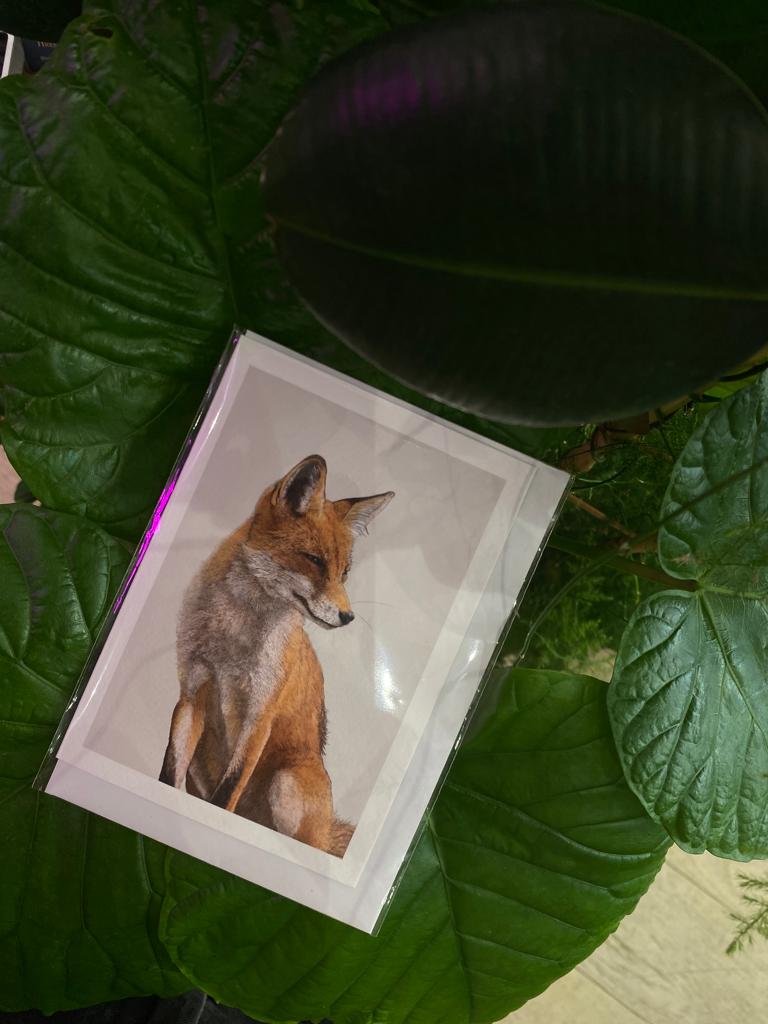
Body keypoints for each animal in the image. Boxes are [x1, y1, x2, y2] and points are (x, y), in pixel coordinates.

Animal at [159, 454, 394, 857]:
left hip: (285, 782)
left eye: (344, 572)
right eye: (314, 560)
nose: (347, 617)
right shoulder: (190, 694)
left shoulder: (260, 716)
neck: (234, 637)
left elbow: (225, 796)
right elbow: (168, 775)